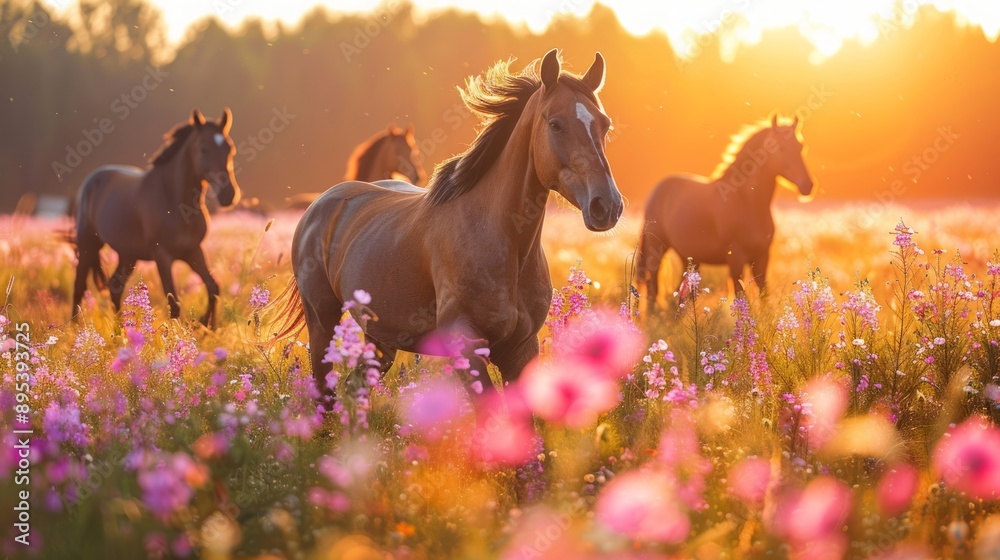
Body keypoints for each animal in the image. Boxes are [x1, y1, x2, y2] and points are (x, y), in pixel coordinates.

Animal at [71, 107, 241, 326]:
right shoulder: (163, 256)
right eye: (203, 148)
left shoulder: (193, 251)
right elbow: (174, 304)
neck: (174, 199)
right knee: (79, 287)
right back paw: (75, 329)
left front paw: (206, 324)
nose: (229, 195)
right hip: (88, 245)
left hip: (128, 255)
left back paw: (120, 330)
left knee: (114, 286)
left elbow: (214, 288)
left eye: (230, 148)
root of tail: (92, 180)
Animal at [640, 114, 812, 310]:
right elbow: (741, 298)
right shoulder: (735, 259)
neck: (746, 202)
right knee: (653, 288)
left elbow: (764, 296)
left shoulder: (762, 258)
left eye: (800, 146)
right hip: (657, 249)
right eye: (780, 147)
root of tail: (659, 189)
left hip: (689, 258)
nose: (807, 186)